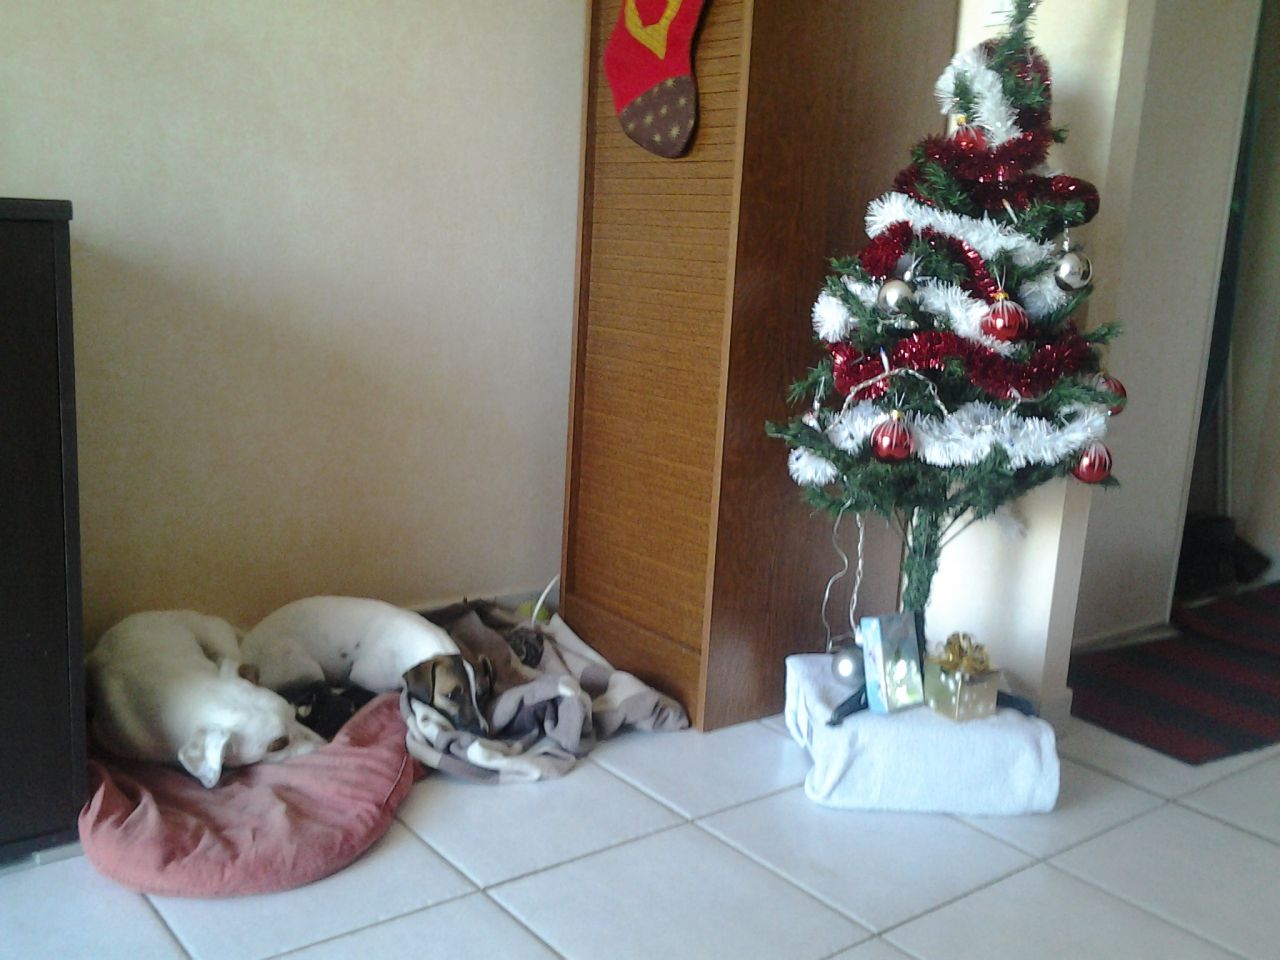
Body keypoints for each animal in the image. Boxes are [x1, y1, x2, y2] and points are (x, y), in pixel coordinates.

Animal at [240, 596, 493, 735]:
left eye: (481, 695)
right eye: (451, 695)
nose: (483, 732)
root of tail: (245, 652)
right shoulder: (367, 677)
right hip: (303, 664)